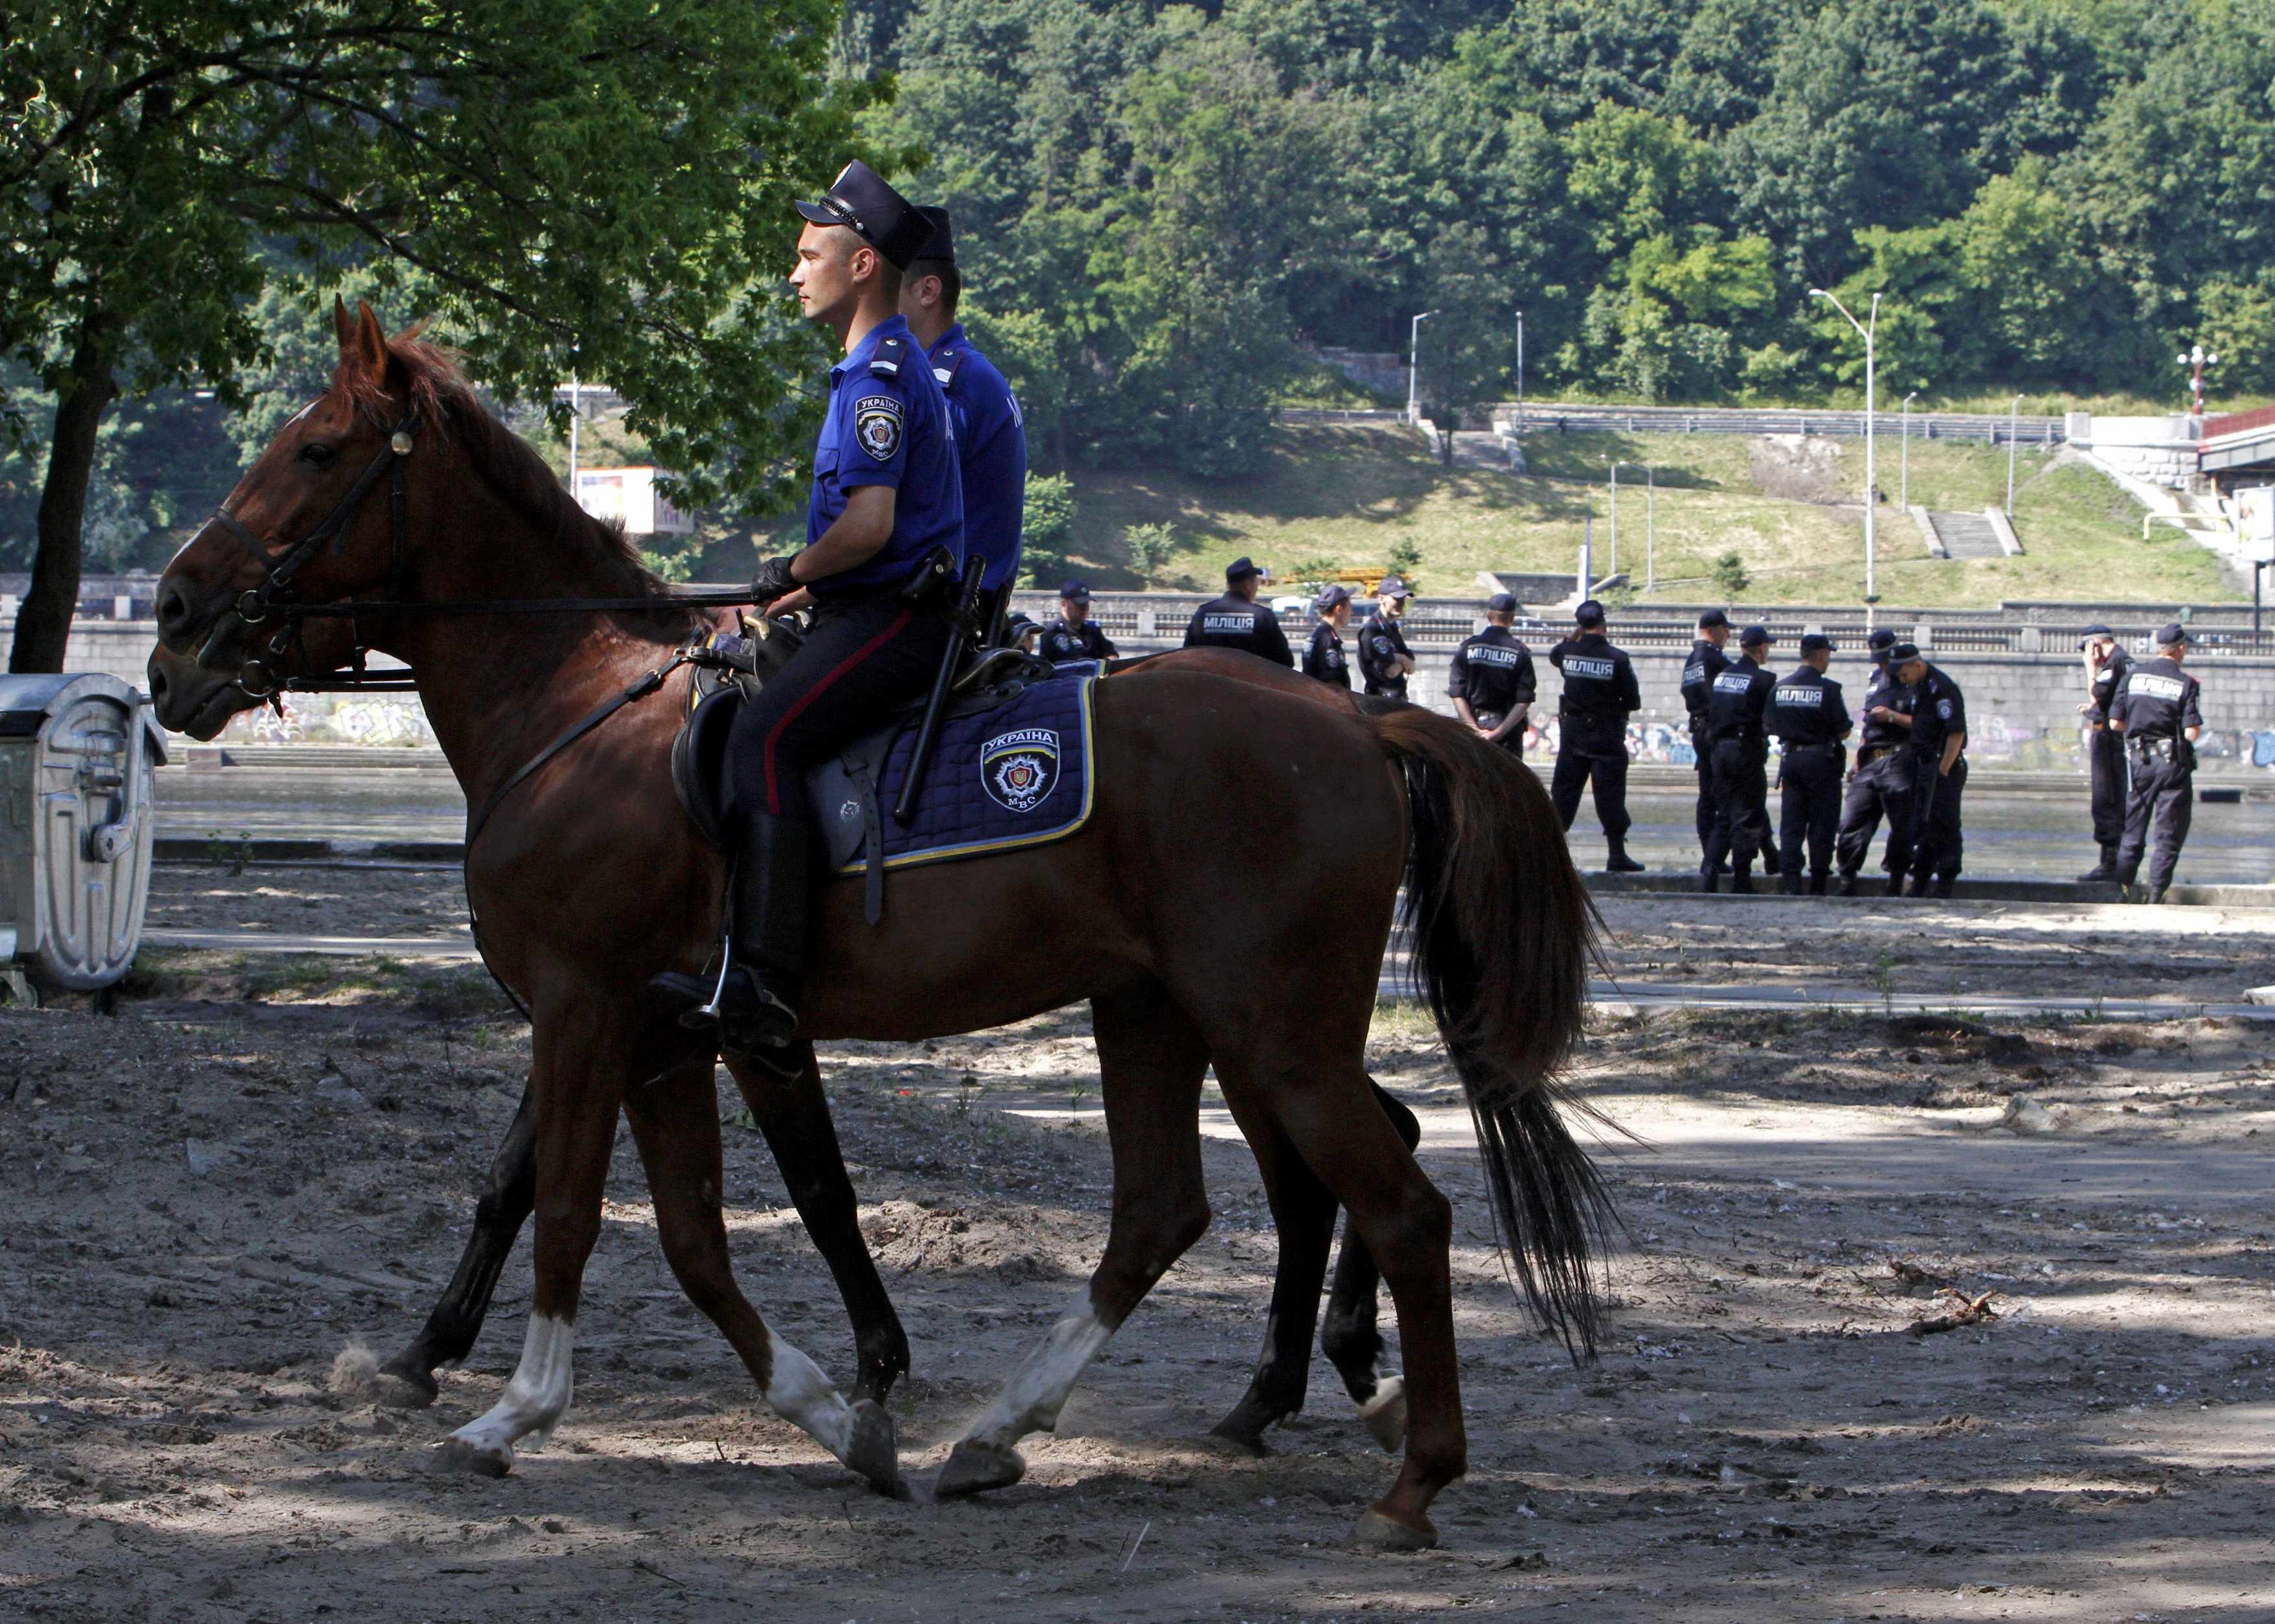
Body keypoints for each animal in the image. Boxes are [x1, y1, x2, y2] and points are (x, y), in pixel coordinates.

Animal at [146, 307, 1602, 1547]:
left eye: (315, 450)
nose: (170, 621)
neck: (578, 707)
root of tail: (1357, 717)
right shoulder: (669, 1036)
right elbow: (687, 1232)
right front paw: (833, 1408)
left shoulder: (590, 1010)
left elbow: (570, 1204)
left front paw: (513, 1408)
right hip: (1162, 1010)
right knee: (1172, 1208)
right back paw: (1035, 1427)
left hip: (1270, 1026)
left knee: (1399, 1201)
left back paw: (1408, 1469)